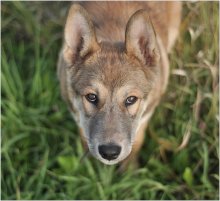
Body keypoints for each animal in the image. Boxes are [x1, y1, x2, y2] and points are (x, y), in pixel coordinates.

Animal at [57, 1, 181, 166]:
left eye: (131, 99)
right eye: (91, 97)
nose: (109, 153)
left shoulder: (144, 117)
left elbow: (136, 144)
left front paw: (130, 170)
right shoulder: (78, 117)